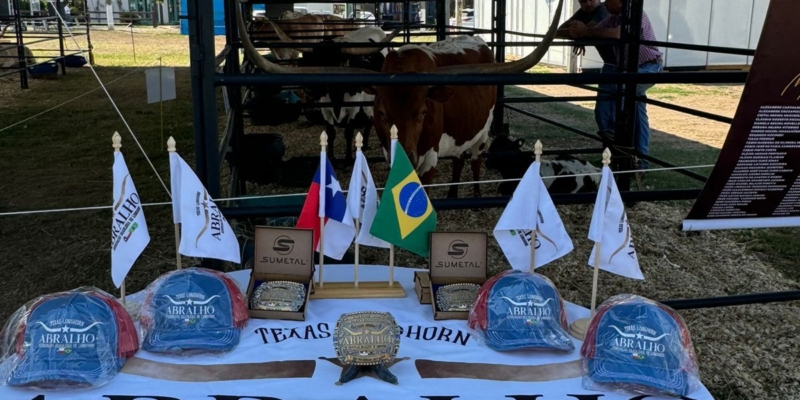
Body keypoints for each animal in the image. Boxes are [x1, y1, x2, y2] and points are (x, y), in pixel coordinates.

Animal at [270, 21, 398, 162]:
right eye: (313, 62)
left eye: (334, 63)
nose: (309, 89)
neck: (336, 93)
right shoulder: (326, 108)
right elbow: (331, 133)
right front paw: (330, 157)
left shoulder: (353, 108)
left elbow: (348, 132)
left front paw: (348, 158)